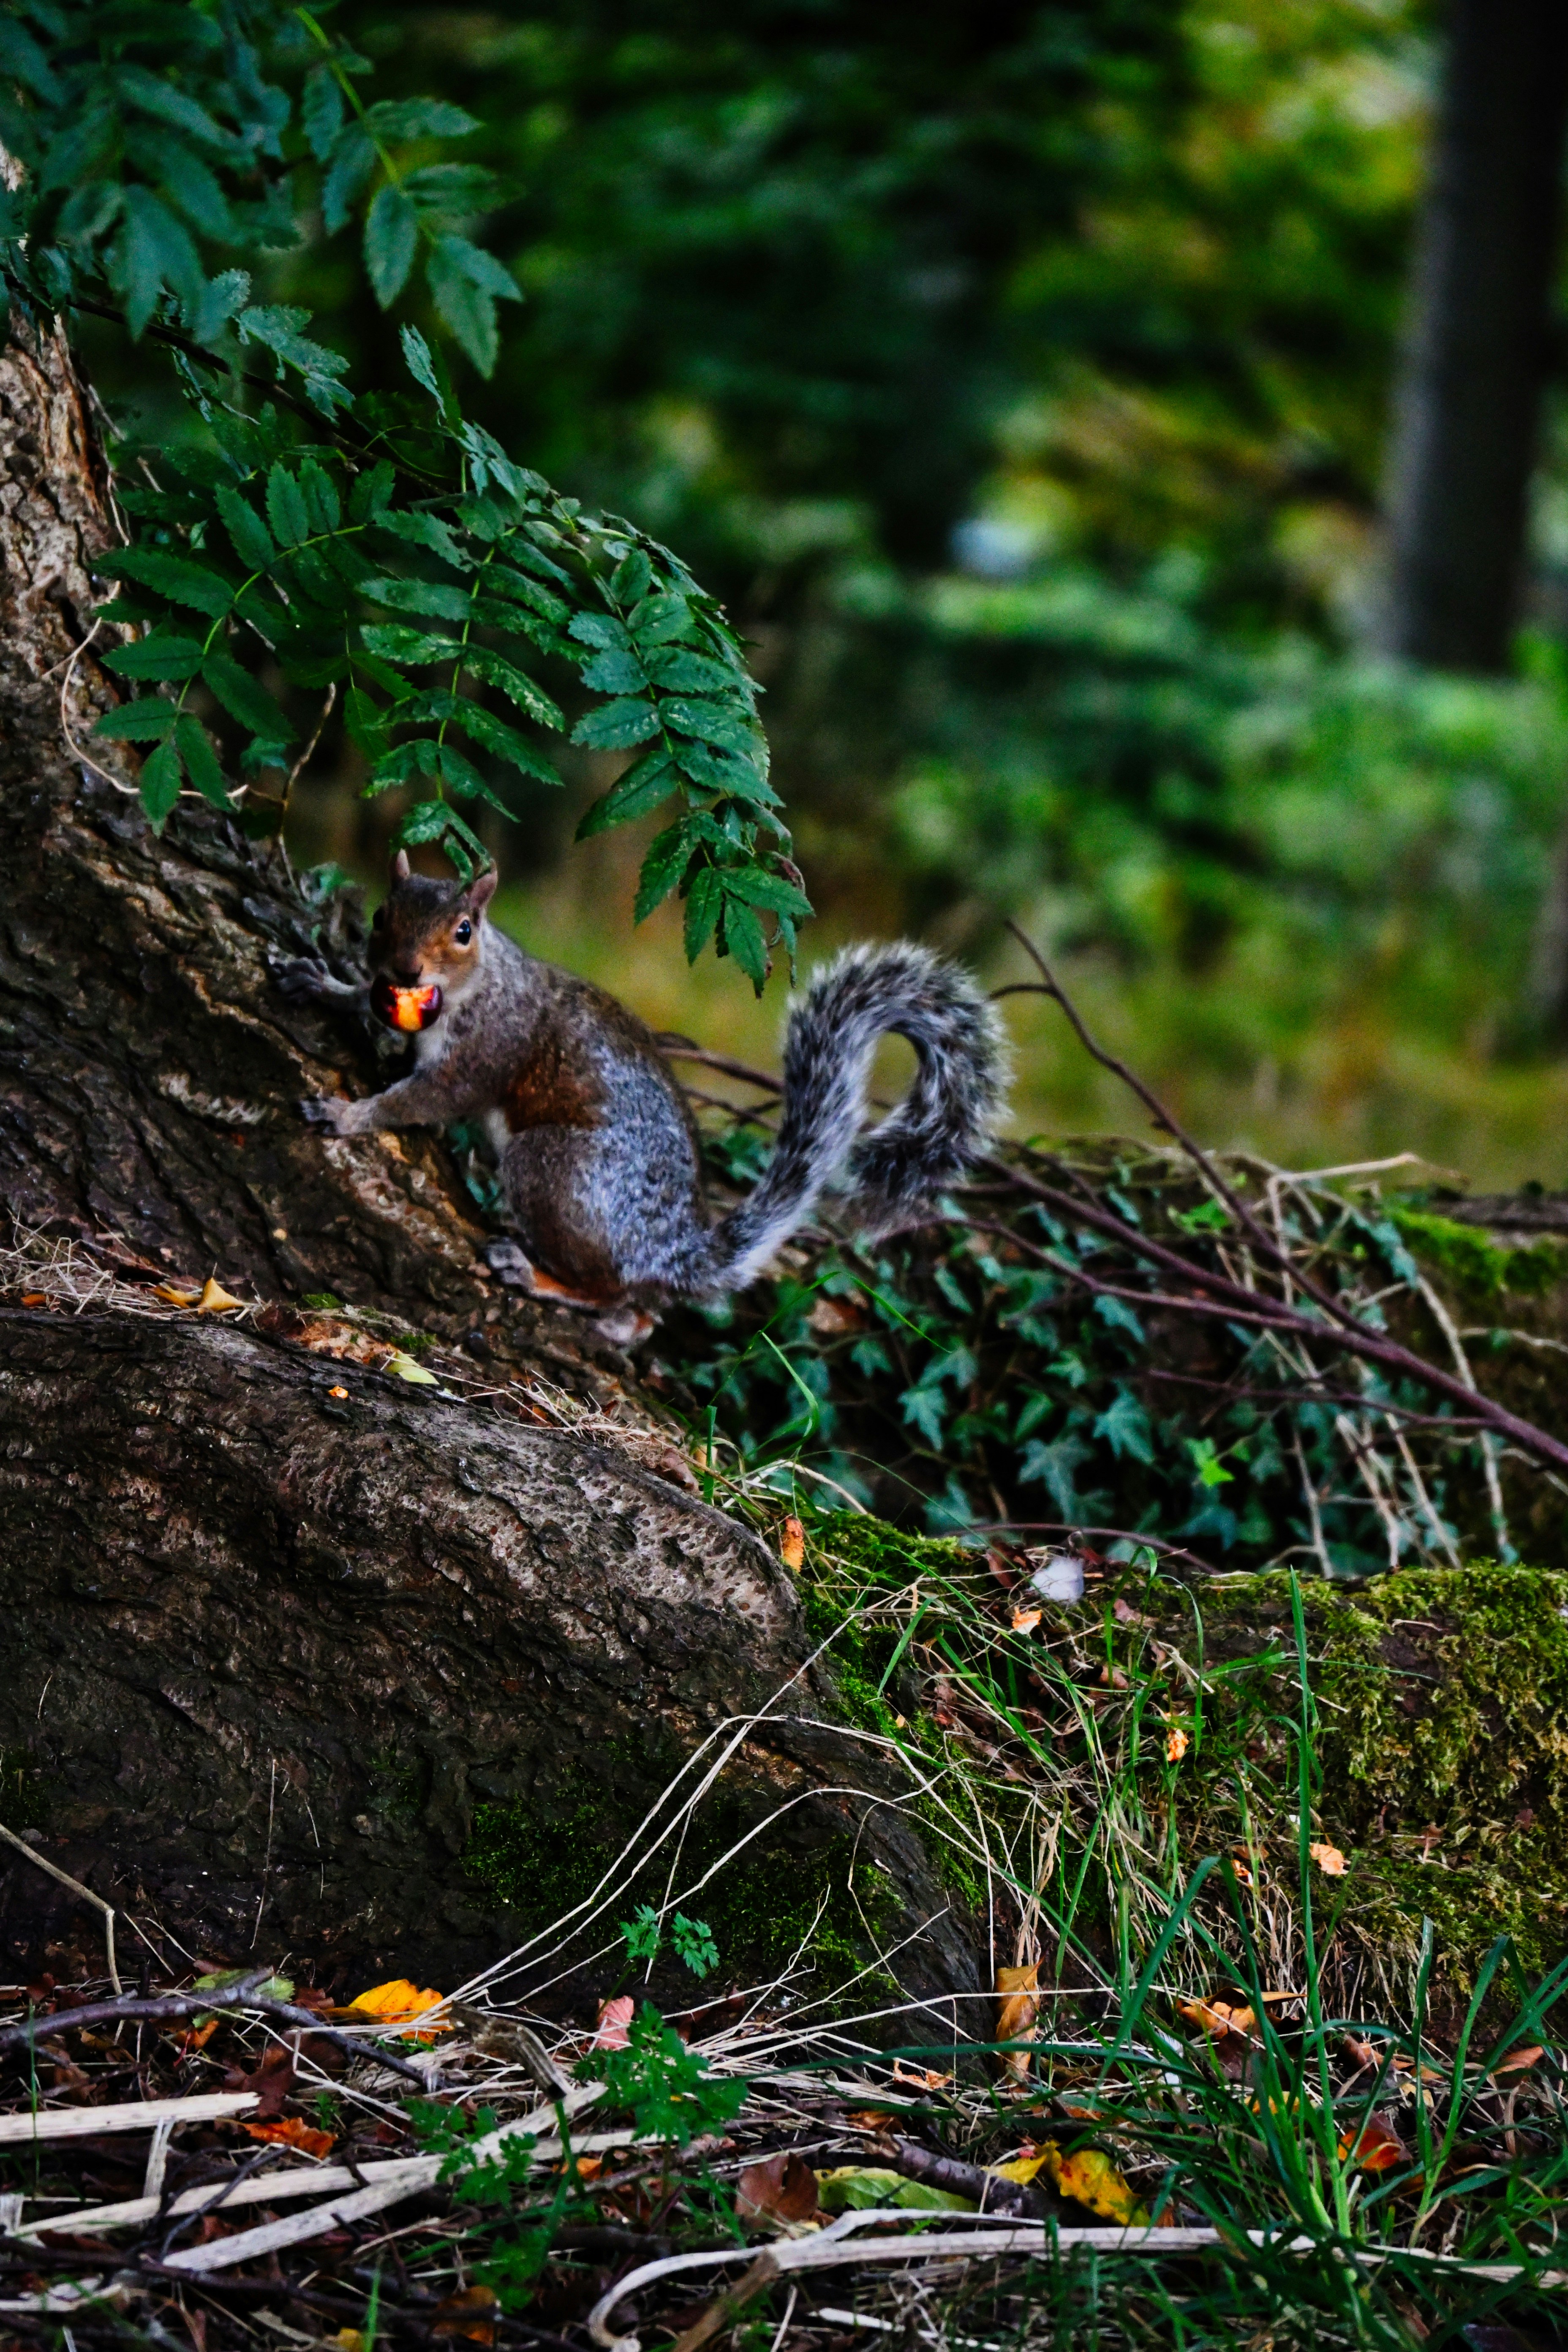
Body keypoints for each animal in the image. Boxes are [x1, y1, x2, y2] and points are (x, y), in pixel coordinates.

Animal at [282, 852, 1008, 1343]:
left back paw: (538, 1275)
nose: (402, 970)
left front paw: (347, 1113)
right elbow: (365, 1008)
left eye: (464, 930)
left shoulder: (487, 1051)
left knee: (615, 1296)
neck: (473, 986)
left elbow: (419, 1100)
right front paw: (324, 984)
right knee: (640, 1320)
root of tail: (673, 1253)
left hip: (554, 1175)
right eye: (382, 915)